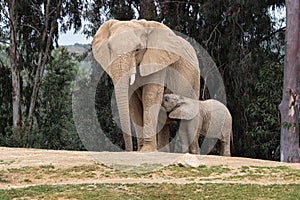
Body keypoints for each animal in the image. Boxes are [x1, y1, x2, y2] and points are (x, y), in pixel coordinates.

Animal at [91, 19, 199, 152]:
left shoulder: (158, 62)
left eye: (138, 49)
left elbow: (150, 96)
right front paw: (140, 151)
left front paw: (146, 150)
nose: (128, 150)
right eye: (109, 48)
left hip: (195, 79)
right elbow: (134, 104)